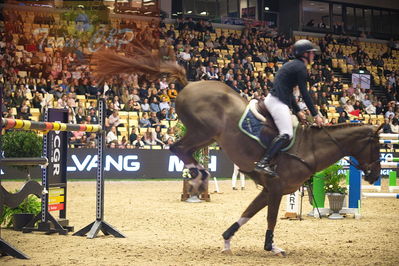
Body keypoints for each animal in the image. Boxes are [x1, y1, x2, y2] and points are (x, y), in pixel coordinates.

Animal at [93, 47, 382, 256]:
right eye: (378, 146)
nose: (374, 175)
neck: (309, 147)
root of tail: (189, 83)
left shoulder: (268, 190)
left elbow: (248, 214)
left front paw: (227, 241)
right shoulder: (276, 189)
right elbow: (271, 219)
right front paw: (271, 247)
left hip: (205, 136)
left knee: (184, 150)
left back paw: (200, 174)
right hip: (203, 131)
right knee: (177, 147)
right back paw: (198, 174)